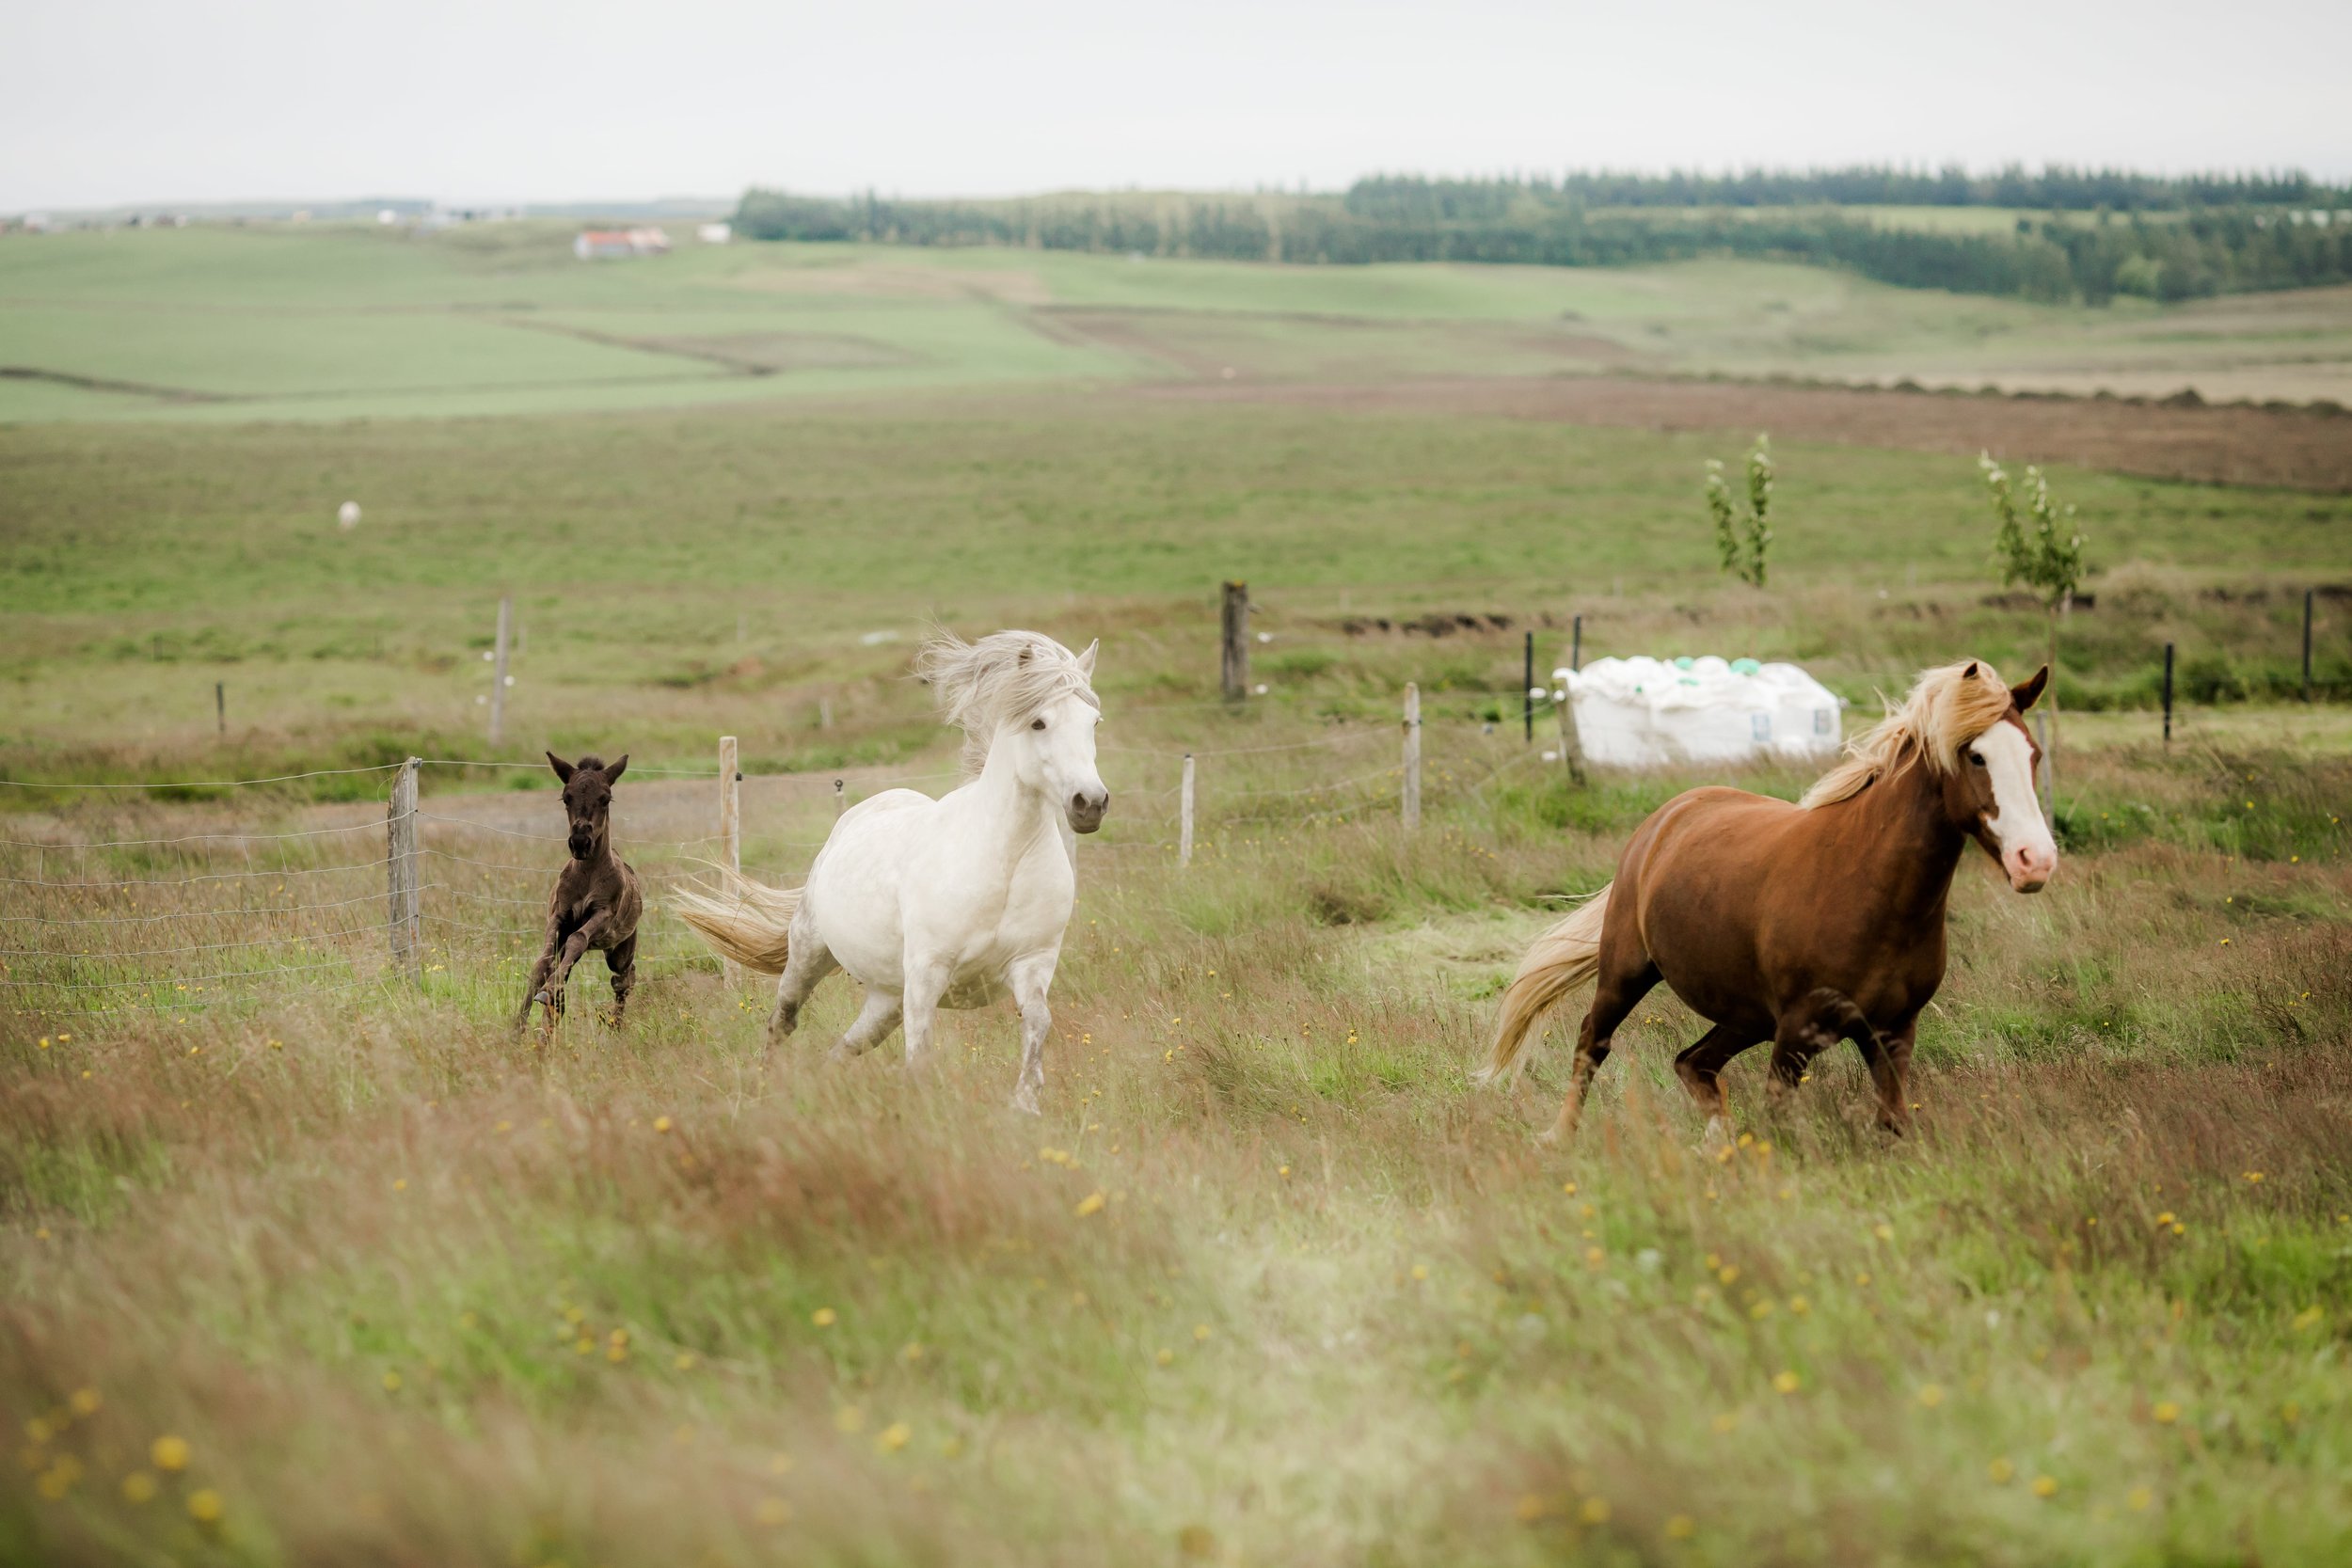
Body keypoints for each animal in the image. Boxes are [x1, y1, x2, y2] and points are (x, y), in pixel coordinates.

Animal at [517, 752, 644, 1034]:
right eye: (566, 797)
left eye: (606, 798)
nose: (580, 842)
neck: (587, 876)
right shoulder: (559, 915)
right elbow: (543, 961)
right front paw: (516, 1028)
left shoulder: (603, 916)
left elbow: (578, 939)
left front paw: (548, 992)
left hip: (620, 949)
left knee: (624, 978)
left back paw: (615, 1024)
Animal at [673, 629, 1110, 1114]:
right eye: (1038, 722)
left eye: (1093, 722)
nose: (1090, 803)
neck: (1002, 862)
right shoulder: (926, 974)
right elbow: (920, 1055)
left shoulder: (1032, 964)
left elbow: (1037, 1023)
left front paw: (1025, 1104)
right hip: (809, 955)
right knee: (782, 1021)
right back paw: (766, 1087)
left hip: (885, 1001)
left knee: (842, 1050)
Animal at [1486, 657, 2060, 1147]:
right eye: (1976, 755)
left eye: (2033, 753)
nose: (2036, 860)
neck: (1868, 888)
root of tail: (1666, 817)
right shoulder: (1797, 1031)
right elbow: (1780, 1120)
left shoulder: (1894, 1032)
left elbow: (1892, 1123)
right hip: (1627, 972)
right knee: (1593, 1043)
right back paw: (1560, 1135)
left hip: (1747, 1015)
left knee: (1693, 1063)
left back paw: (1715, 1143)